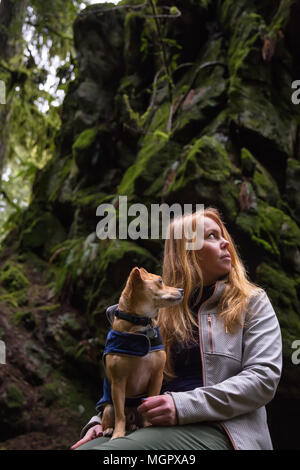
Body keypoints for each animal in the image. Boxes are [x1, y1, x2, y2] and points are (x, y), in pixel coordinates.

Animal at [101, 268, 183, 440]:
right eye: (160, 281)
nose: (181, 290)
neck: (139, 324)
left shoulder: (156, 376)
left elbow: (150, 403)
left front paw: (148, 425)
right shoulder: (118, 382)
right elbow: (120, 414)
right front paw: (118, 434)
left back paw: (134, 425)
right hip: (108, 407)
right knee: (114, 415)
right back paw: (109, 429)